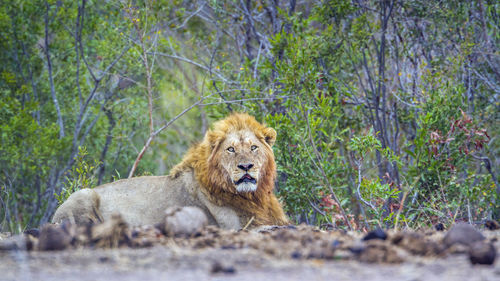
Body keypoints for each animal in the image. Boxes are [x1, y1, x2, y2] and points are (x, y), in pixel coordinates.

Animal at [51, 112, 290, 229]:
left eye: (253, 147)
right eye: (230, 149)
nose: (246, 166)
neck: (254, 196)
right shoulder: (237, 226)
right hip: (84, 194)